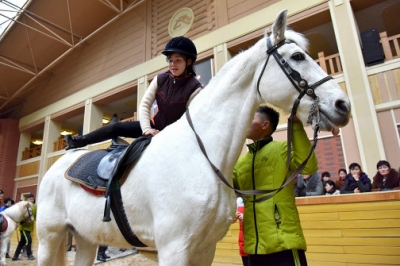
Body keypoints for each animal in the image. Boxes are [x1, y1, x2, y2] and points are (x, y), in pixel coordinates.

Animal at [36, 9, 350, 266]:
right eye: (297, 57)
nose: (342, 105)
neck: (201, 155)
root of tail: (58, 167)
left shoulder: (204, 249)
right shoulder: (173, 248)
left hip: (86, 238)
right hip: (49, 237)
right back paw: (73, 141)